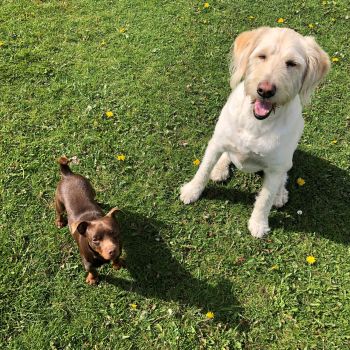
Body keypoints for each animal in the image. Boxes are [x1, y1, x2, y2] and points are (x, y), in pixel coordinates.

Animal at [54, 156, 124, 284]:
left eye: (115, 234)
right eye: (95, 239)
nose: (112, 250)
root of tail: (68, 174)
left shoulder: (119, 248)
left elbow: (116, 258)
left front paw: (117, 265)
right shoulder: (87, 263)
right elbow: (93, 270)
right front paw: (92, 279)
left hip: (92, 189)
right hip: (59, 203)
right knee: (59, 212)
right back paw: (60, 222)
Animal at [180, 26, 330, 238]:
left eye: (292, 64)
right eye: (262, 56)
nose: (265, 90)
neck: (256, 123)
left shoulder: (275, 169)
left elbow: (264, 200)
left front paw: (258, 224)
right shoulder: (216, 143)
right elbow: (203, 170)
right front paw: (192, 191)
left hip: (286, 162)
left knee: (283, 177)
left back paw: (280, 194)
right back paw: (220, 169)